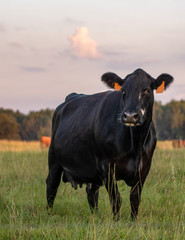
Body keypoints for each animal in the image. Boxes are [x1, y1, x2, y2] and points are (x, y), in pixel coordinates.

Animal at [46, 68, 173, 219]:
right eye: (123, 91)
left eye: (147, 89)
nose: (130, 116)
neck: (135, 143)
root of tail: (70, 97)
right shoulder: (105, 165)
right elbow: (116, 198)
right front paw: (116, 221)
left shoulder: (145, 166)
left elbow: (135, 198)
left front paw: (133, 221)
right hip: (53, 157)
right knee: (52, 184)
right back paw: (49, 214)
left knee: (92, 192)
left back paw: (95, 216)